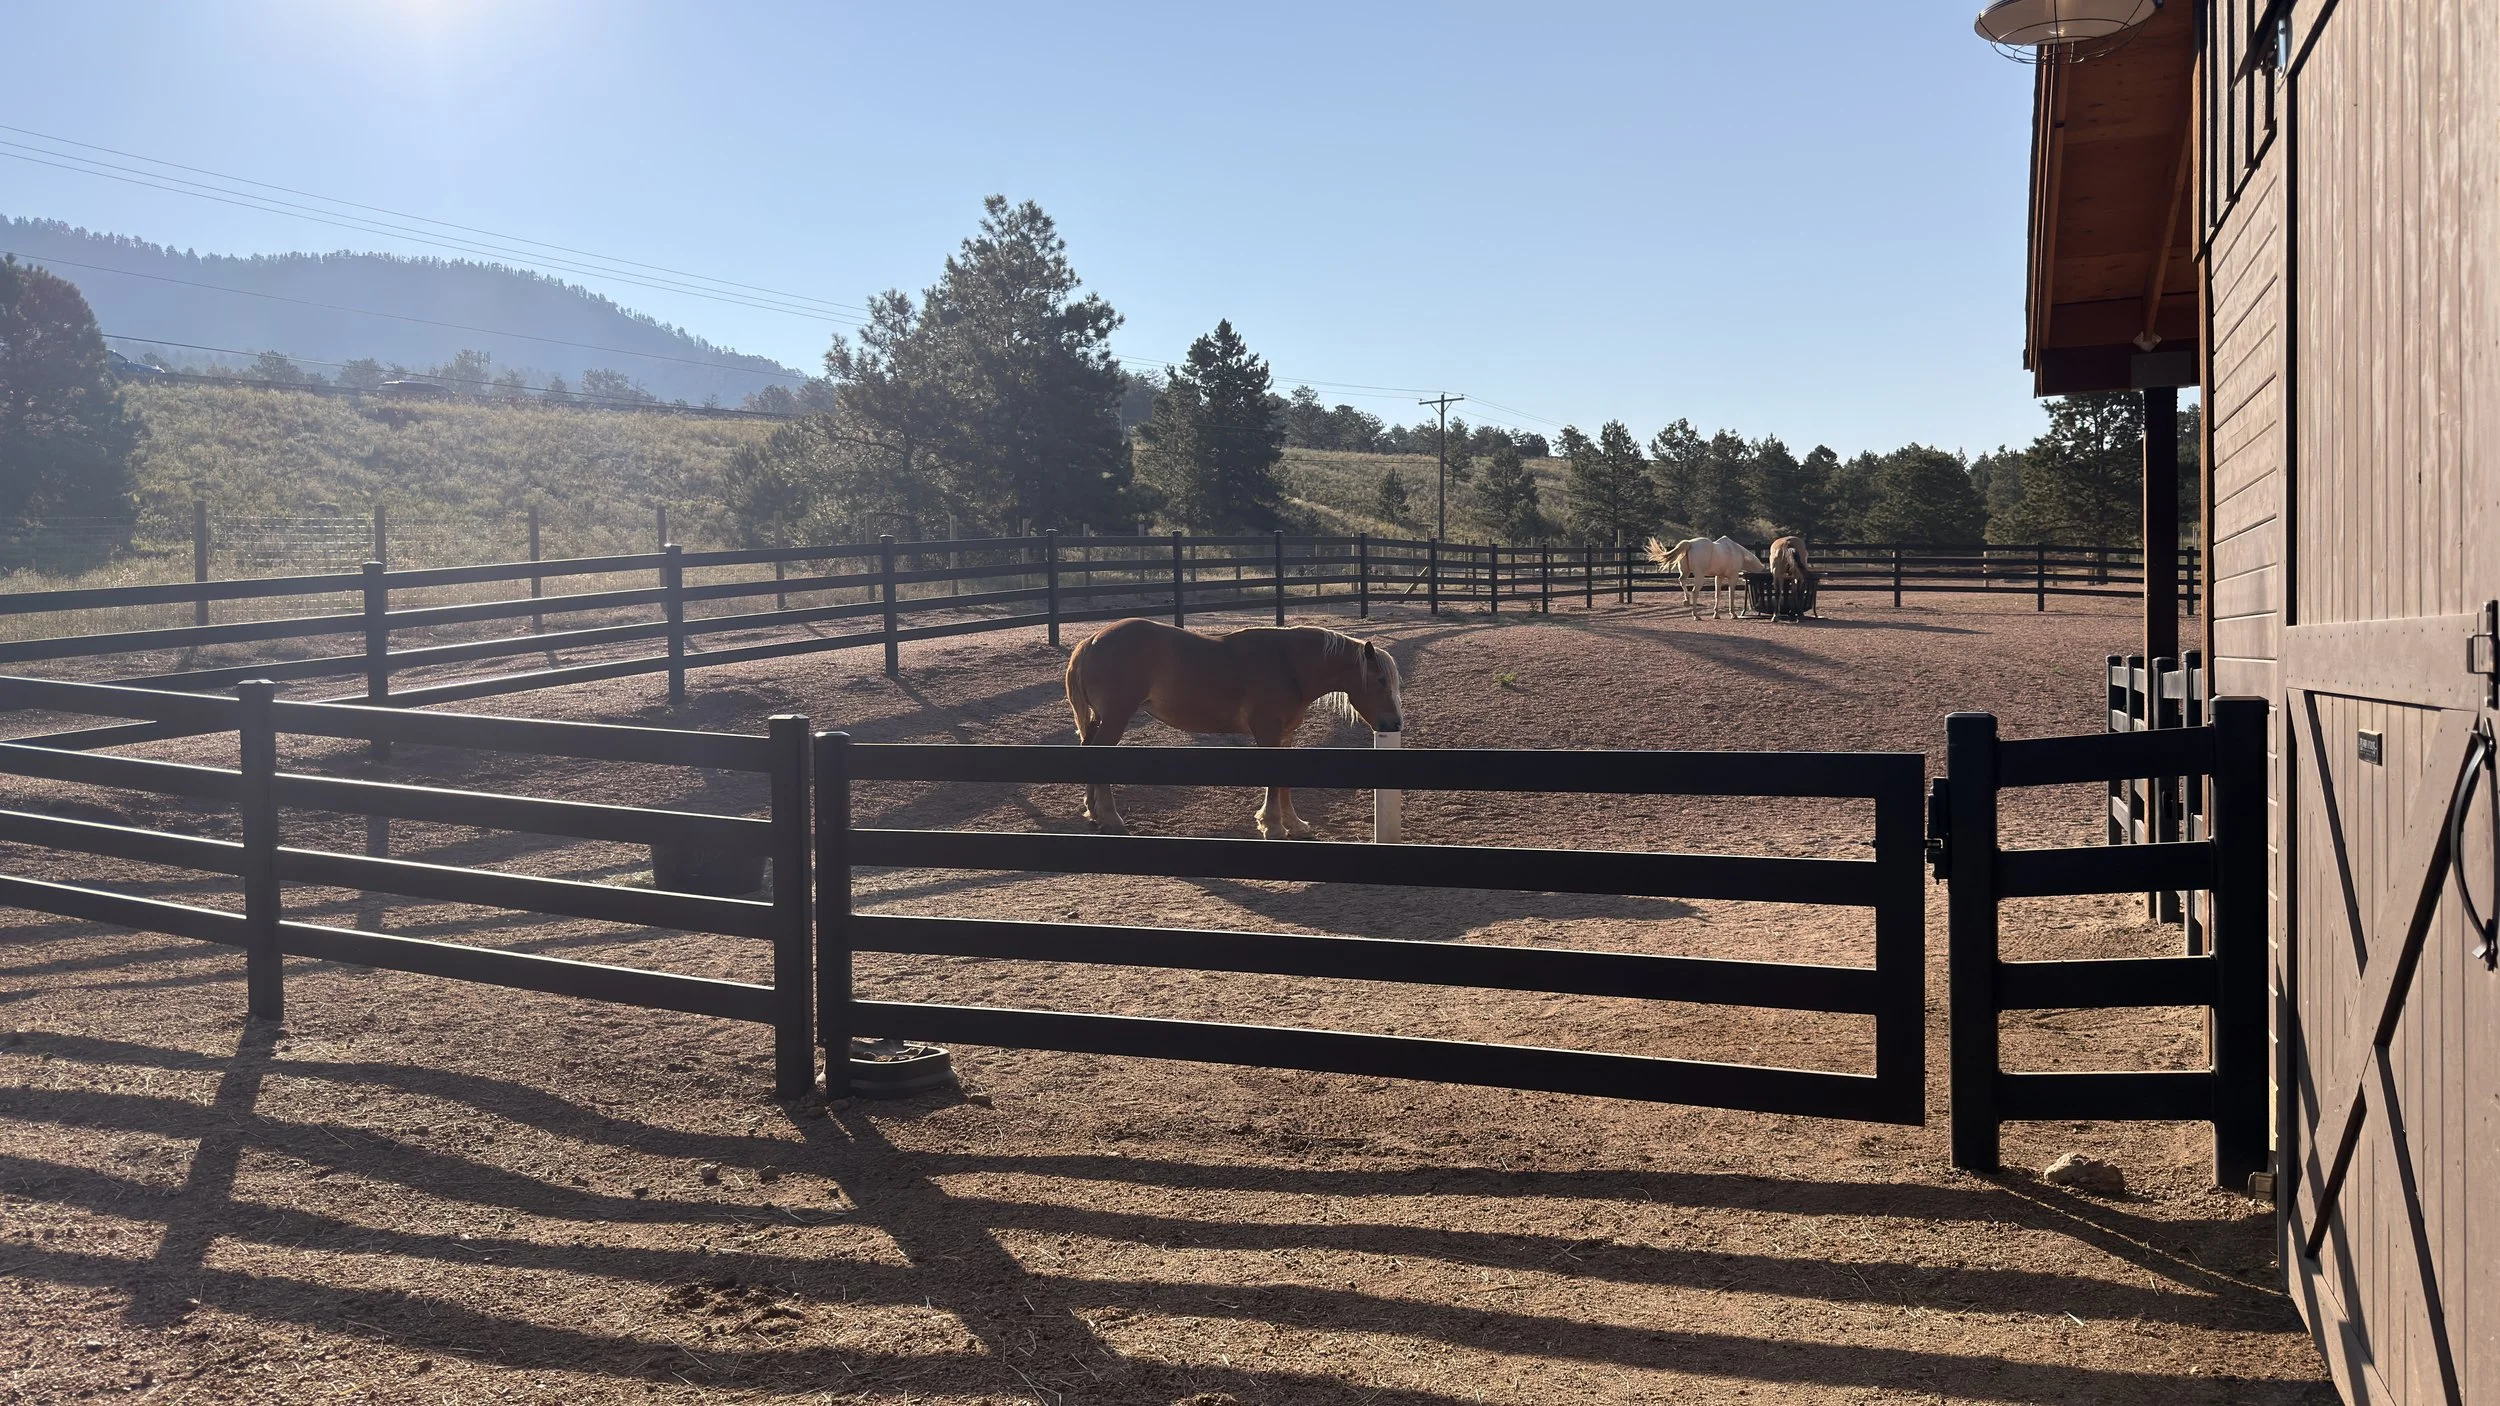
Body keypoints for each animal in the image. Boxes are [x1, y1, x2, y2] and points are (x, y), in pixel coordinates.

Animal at [1064, 619, 1405, 840]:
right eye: (1380, 680)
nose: (1395, 724)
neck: (1289, 665)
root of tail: (1092, 640)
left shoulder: (1284, 736)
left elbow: (1286, 783)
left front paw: (1295, 825)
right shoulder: (1267, 732)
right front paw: (1273, 825)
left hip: (1101, 719)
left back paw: (1094, 814)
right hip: (1116, 717)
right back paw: (1112, 820)